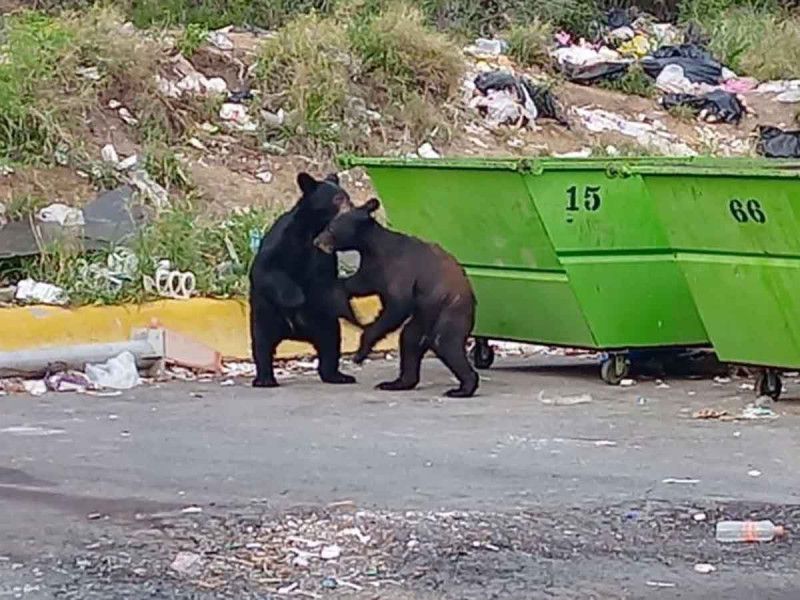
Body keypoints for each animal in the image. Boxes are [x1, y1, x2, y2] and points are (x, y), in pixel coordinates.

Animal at [249, 172, 358, 388]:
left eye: (347, 196)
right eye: (337, 198)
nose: (352, 207)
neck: (313, 231)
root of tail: (294, 332)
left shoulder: (324, 256)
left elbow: (325, 281)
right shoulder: (283, 240)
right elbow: (266, 269)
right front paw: (296, 297)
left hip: (323, 321)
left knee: (330, 342)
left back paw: (337, 375)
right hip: (266, 315)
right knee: (262, 343)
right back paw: (265, 378)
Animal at [313, 198, 479, 398]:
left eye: (331, 228)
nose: (317, 241)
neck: (374, 247)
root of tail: (472, 299)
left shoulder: (401, 269)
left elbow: (398, 304)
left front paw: (360, 353)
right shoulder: (372, 268)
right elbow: (358, 284)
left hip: (450, 308)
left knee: (445, 342)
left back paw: (462, 388)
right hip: (424, 317)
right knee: (410, 340)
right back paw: (395, 383)